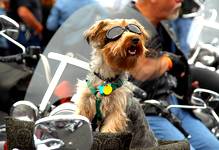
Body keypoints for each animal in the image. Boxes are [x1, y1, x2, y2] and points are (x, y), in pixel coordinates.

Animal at [73, 18, 157, 148]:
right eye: (116, 32)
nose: (135, 39)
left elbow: (109, 130)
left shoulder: (116, 112)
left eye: (135, 30)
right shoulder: (85, 104)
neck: (106, 78)